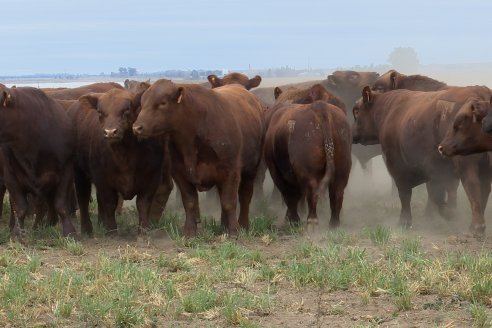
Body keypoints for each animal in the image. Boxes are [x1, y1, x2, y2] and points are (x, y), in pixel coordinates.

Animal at [0, 83, 77, 238]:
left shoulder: (66, 170)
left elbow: (61, 205)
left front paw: (70, 232)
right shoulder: (10, 177)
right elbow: (20, 207)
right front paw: (17, 234)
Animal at [67, 88, 171, 234]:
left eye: (126, 110)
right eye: (100, 111)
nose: (110, 132)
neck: (125, 155)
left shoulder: (152, 179)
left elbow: (143, 205)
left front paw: (143, 232)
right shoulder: (103, 179)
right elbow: (110, 203)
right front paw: (112, 231)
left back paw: (101, 224)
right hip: (79, 171)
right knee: (83, 199)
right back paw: (87, 230)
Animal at [132, 80, 266, 238]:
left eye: (163, 103)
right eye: (142, 103)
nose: (137, 127)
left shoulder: (231, 171)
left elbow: (229, 202)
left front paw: (234, 231)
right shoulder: (180, 173)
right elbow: (190, 202)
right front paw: (189, 231)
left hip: (251, 170)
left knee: (245, 197)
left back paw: (243, 224)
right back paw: (223, 225)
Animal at [264, 95, 352, 229]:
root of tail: (319, 107)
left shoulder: (276, 171)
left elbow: (289, 196)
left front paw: (293, 219)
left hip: (308, 171)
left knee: (311, 191)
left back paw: (312, 221)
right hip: (342, 169)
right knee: (337, 192)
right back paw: (334, 224)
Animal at [354, 86, 492, 237]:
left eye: (356, 111)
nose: (353, 135)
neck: (389, 110)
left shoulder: (399, 167)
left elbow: (407, 193)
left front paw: (404, 222)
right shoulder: (437, 172)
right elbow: (439, 192)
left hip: (466, 164)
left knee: (472, 185)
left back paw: (476, 227)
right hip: (484, 167)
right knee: (485, 187)